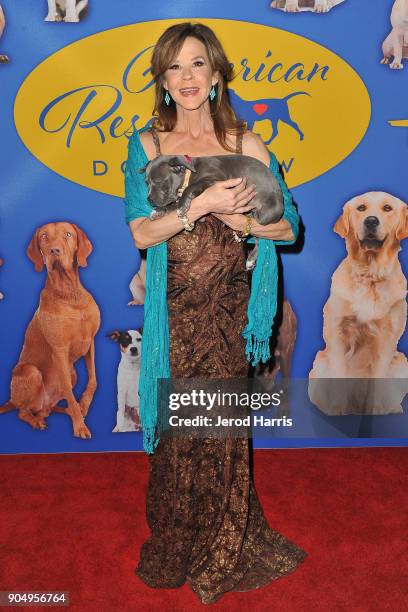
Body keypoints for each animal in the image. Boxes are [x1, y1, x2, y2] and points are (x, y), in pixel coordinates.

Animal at [139, 154, 284, 268]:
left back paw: (250, 256)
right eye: (146, 183)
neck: (189, 173)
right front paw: (160, 211)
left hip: (264, 215)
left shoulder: (215, 179)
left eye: (159, 181)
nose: (149, 200)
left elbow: (190, 188)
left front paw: (181, 205)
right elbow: (173, 204)